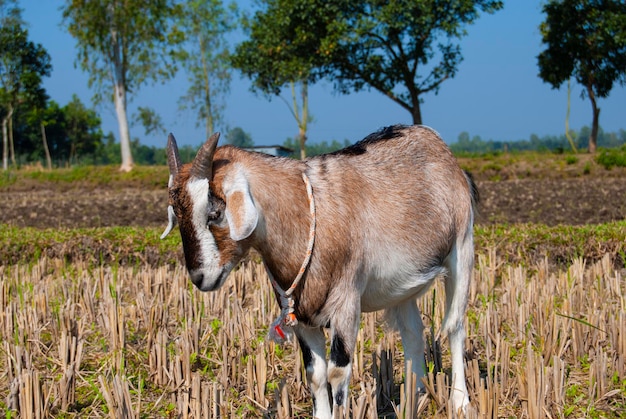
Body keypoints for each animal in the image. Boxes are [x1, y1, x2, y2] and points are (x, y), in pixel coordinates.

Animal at [162, 124, 478, 416]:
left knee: (454, 325)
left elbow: (337, 373)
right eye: (177, 215)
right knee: (413, 333)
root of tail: (435, 143)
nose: (200, 277)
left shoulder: (346, 303)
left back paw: (460, 402)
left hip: (462, 248)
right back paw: (416, 399)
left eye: (214, 213)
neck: (304, 214)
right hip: (404, 286)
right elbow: (315, 374)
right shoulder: (300, 315)